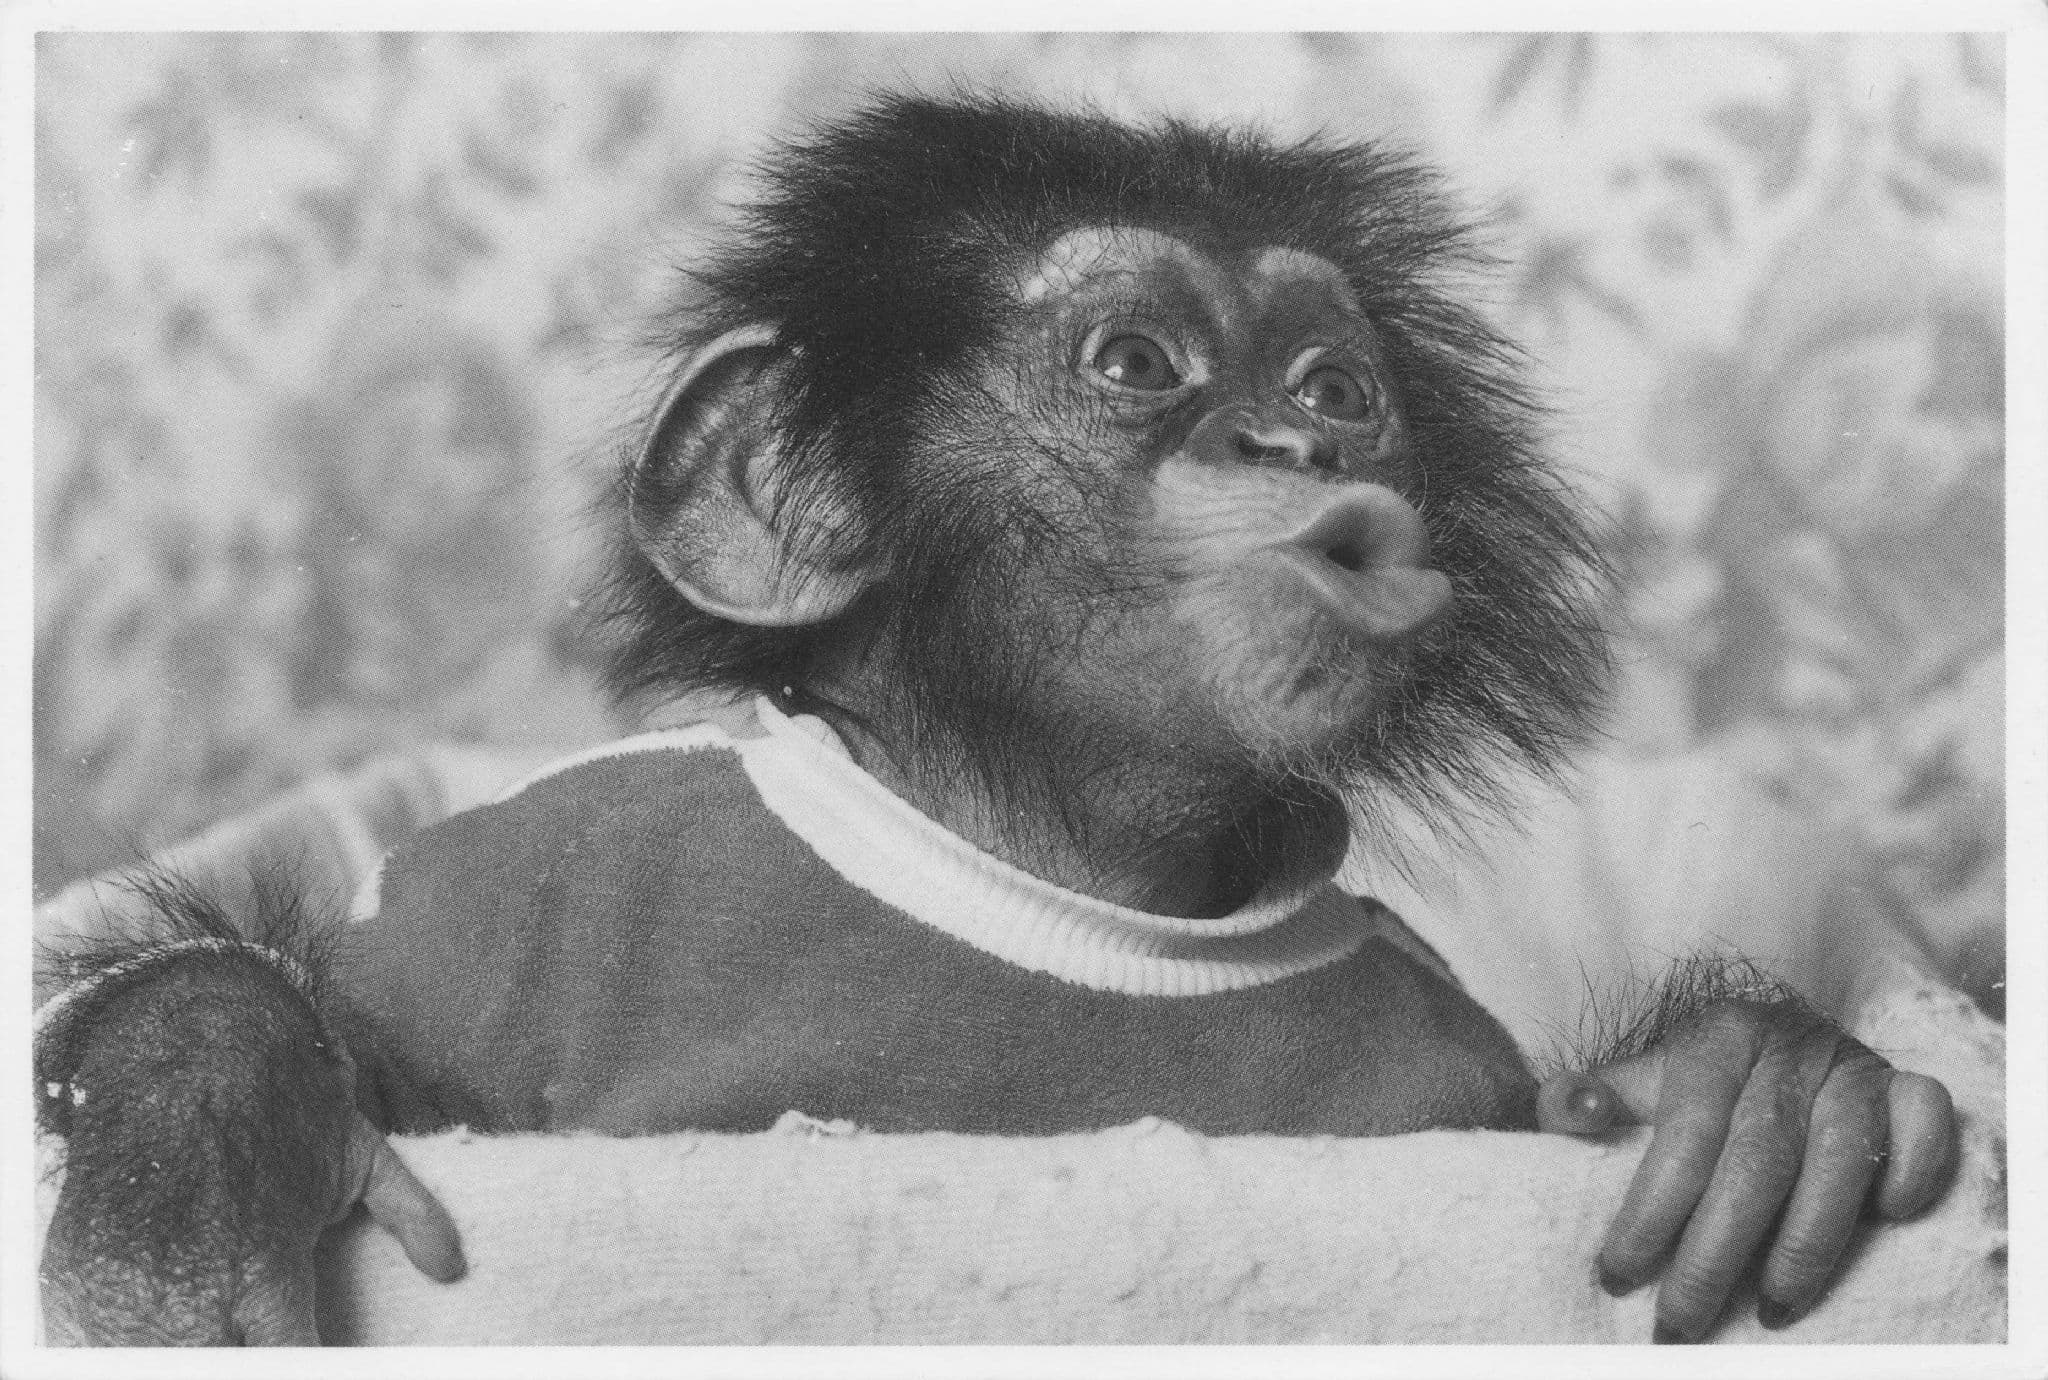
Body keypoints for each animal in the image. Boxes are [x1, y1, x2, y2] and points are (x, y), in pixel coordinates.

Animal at [35, 93, 1958, 1347]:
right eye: (1134, 364)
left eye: (1339, 386)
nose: (1295, 441)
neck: (1055, 859)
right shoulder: (512, 883)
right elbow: (333, 1026)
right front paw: (191, 1154)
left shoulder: (1441, 1043)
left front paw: (1759, 1094)